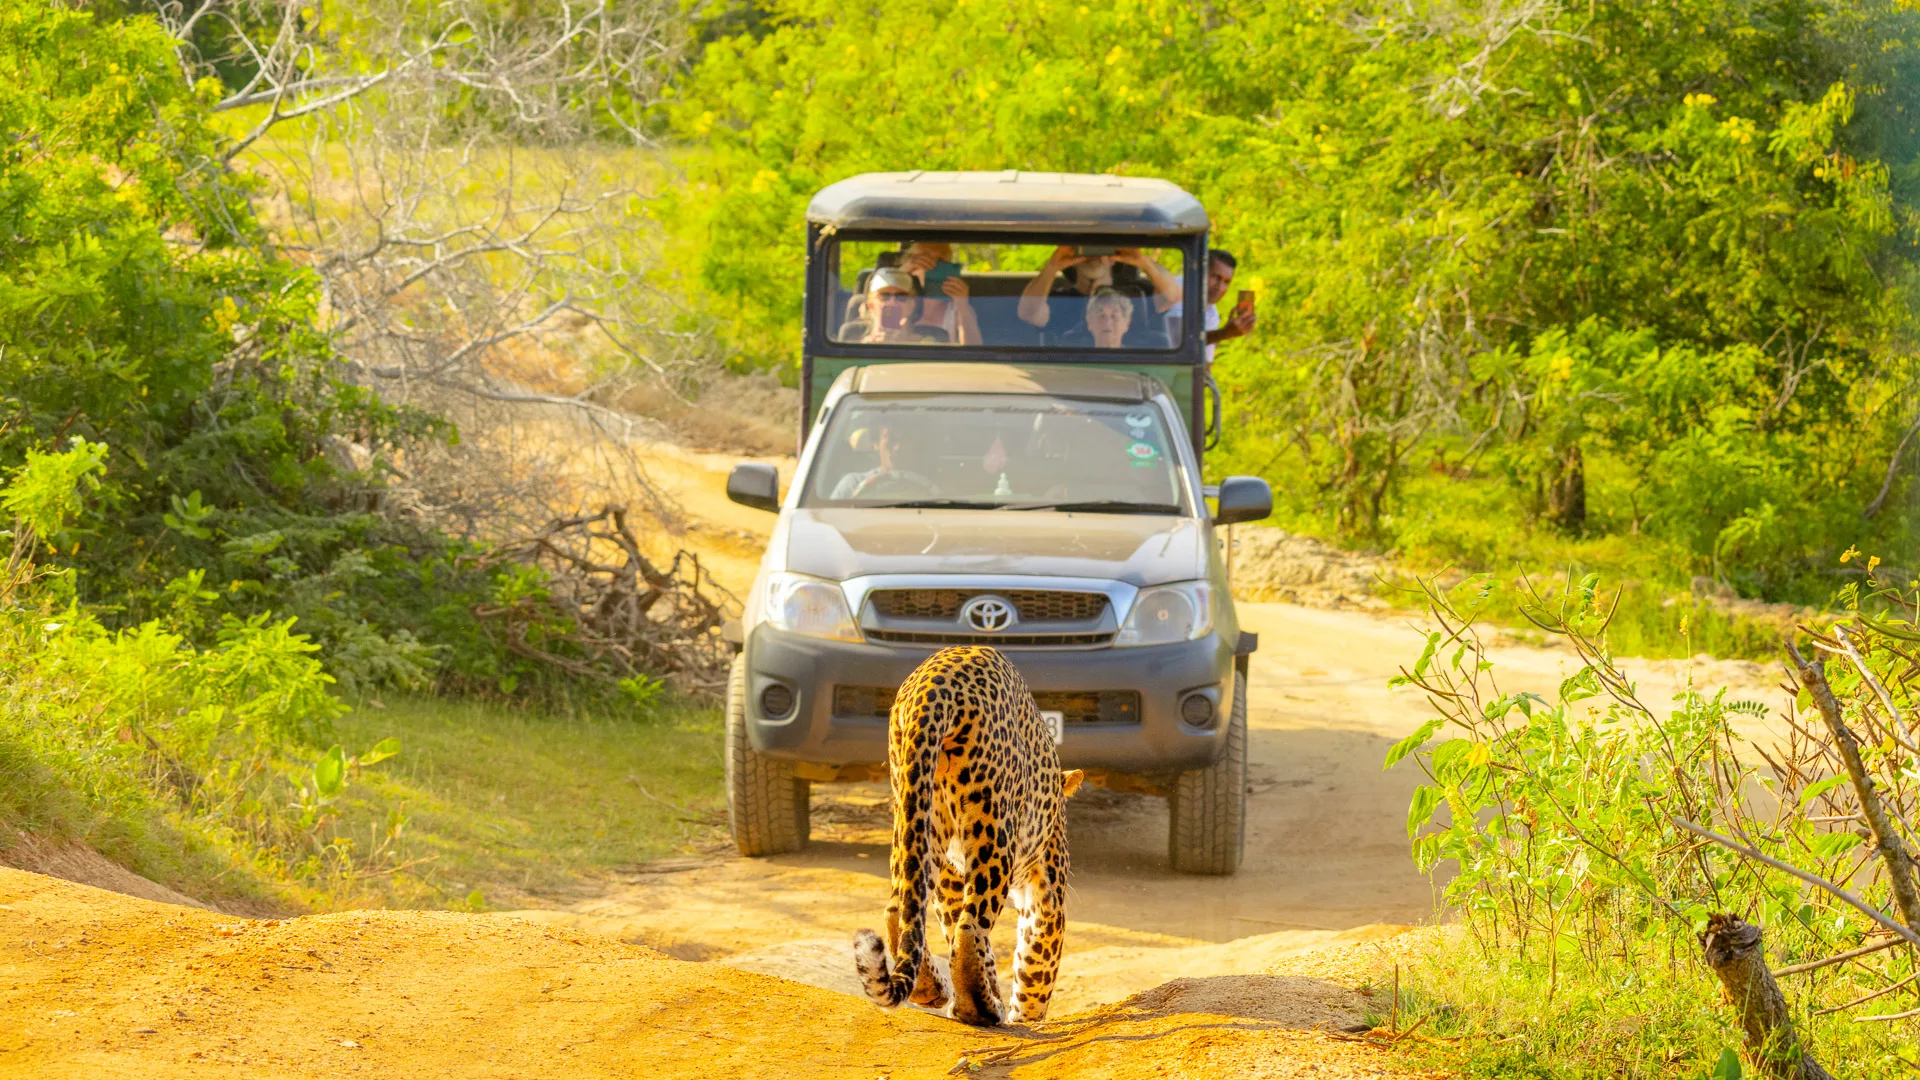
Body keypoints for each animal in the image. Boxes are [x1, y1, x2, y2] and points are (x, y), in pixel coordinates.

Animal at [851, 645, 1083, 1027]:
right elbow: (1037, 956)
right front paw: (1026, 1017)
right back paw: (979, 1009)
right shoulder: (1046, 889)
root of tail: (934, 684)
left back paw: (932, 990)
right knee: (970, 925)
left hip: (917, 814)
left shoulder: (952, 876)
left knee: (901, 907)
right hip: (993, 828)